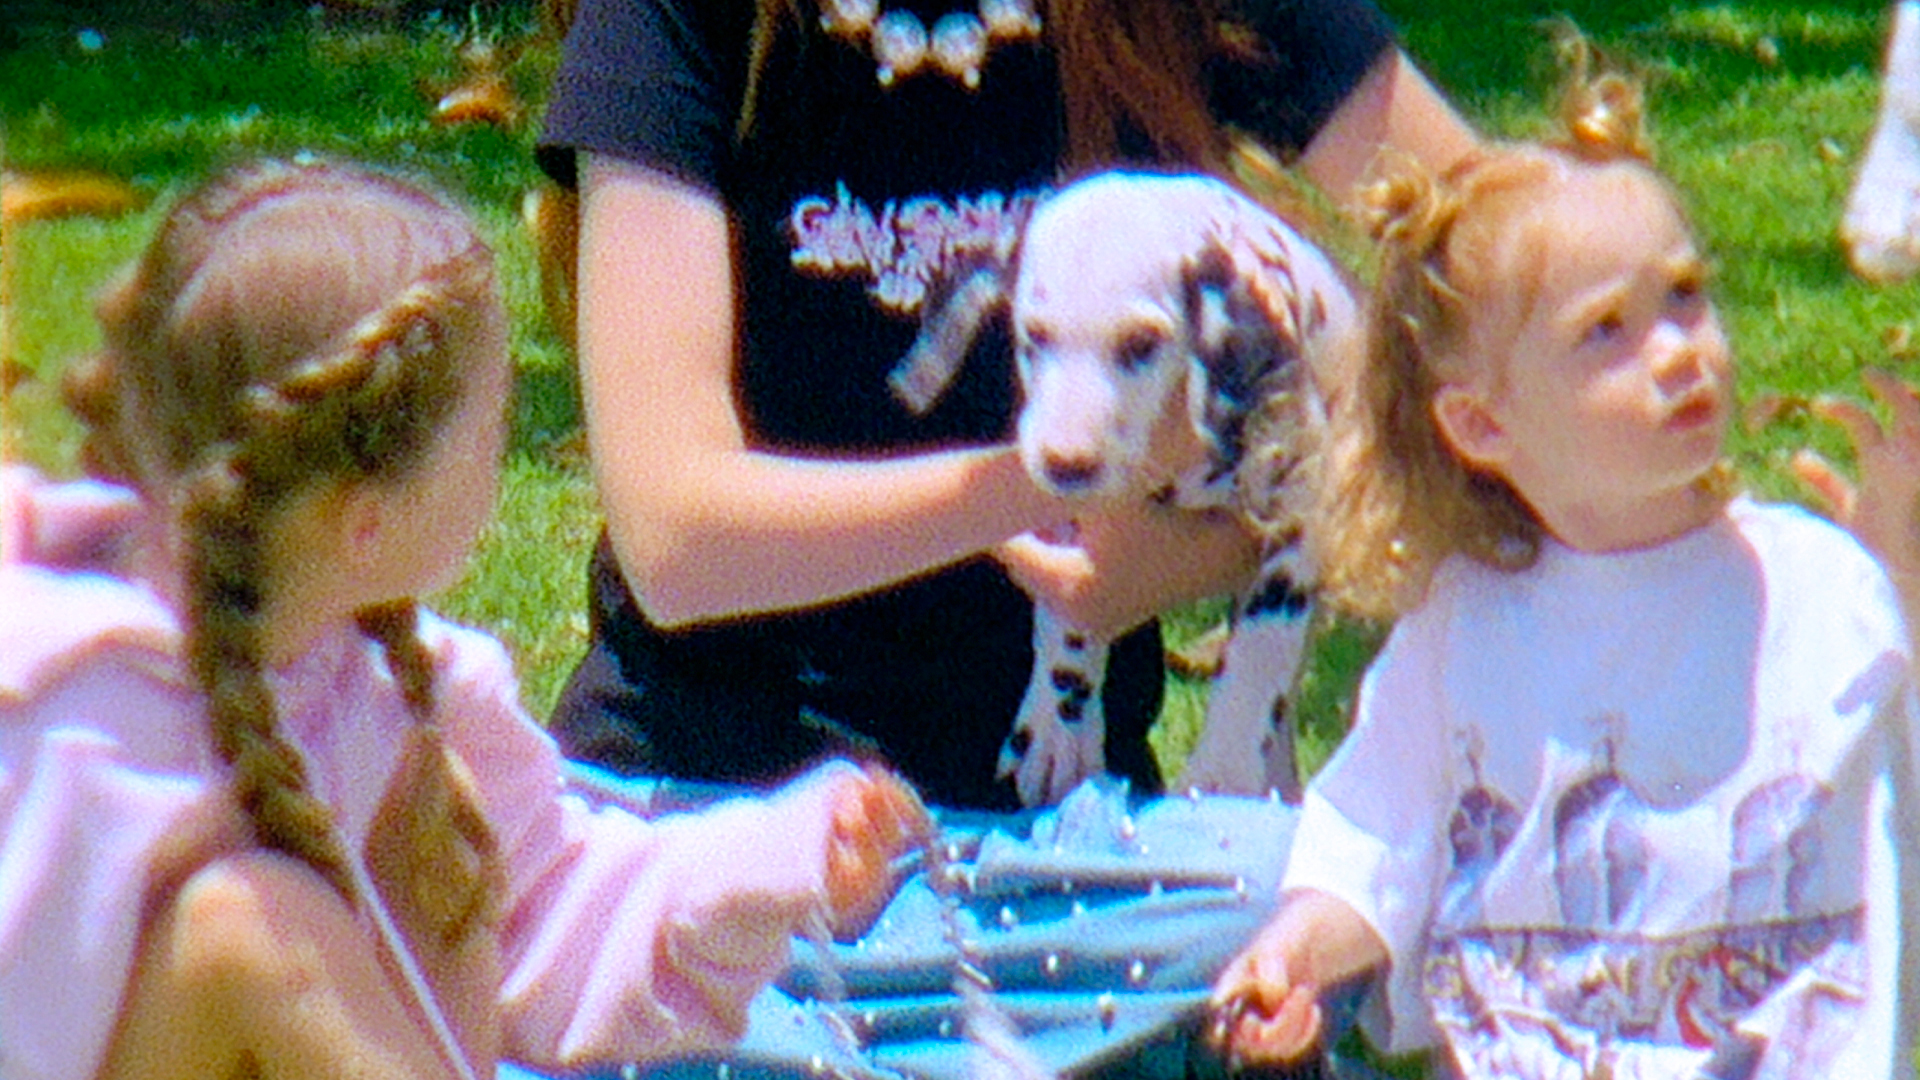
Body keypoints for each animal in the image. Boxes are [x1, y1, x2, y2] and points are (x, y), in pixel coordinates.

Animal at [890, 168, 1359, 803]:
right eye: (1033, 336)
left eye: (1141, 344)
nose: (1066, 464)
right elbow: (1066, 620)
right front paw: (1057, 734)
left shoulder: (1297, 514)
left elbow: (1262, 646)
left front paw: (1224, 766)